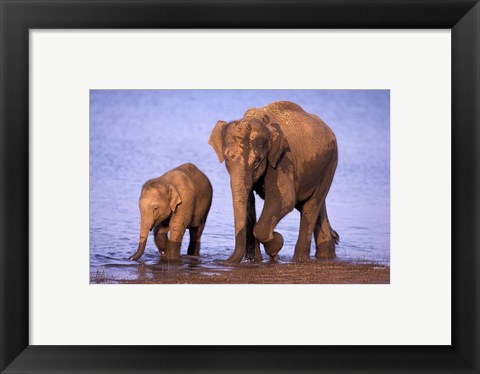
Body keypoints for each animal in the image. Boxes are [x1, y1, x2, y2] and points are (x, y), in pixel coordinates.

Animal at [209, 100, 338, 262]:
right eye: (226, 159)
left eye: (257, 161)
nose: (221, 261)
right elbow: (249, 204)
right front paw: (255, 260)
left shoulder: (282, 158)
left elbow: (285, 199)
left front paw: (276, 244)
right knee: (315, 206)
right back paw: (326, 255)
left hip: (330, 165)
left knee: (310, 206)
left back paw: (300, 259)